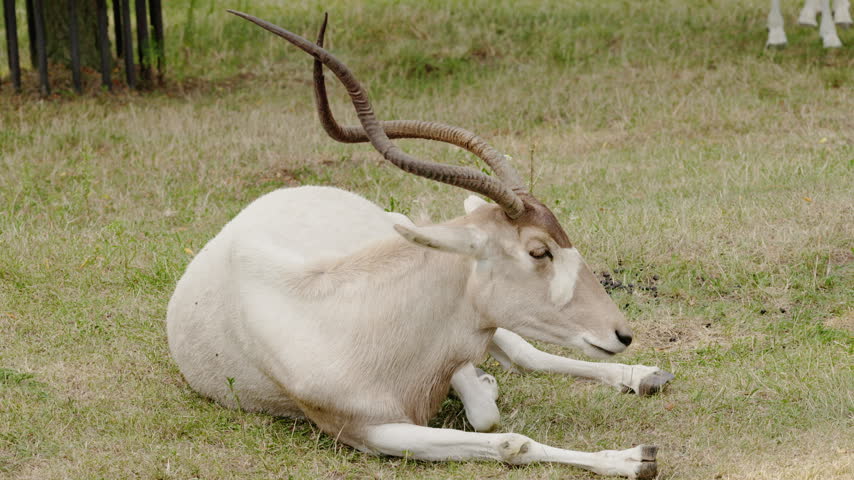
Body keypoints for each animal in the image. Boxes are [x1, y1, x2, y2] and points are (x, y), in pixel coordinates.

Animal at [167, 11, 674, 479]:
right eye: (538, 251)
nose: (622, 333)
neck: (342, 317)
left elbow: (488, 405)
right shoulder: (372, 432)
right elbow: (507, 438)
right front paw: (632, 459)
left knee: (523, 353)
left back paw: (644, 376)